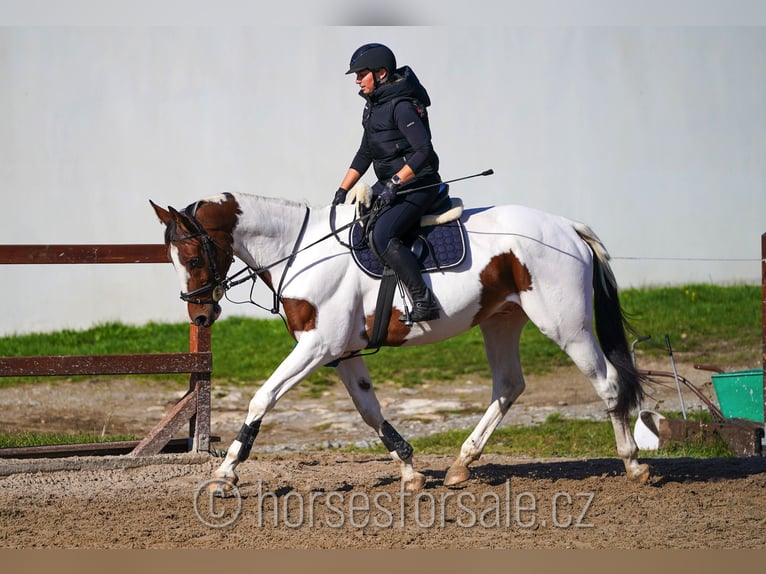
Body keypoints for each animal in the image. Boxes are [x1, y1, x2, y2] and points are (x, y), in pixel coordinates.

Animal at [152, 190, 656, 496]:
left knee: (608, 384)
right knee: (509, 386)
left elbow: (262, 398)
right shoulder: (342, 353)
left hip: (565, 325)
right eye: (173, 259)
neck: (298, 251)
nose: (200, 316)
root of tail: (567, 226)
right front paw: (411, 471)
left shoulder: (317, 348)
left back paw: (633, 464)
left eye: (193, 258)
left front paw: (224, 474)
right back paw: (461, 465)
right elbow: (369, 410)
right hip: (501, 320)